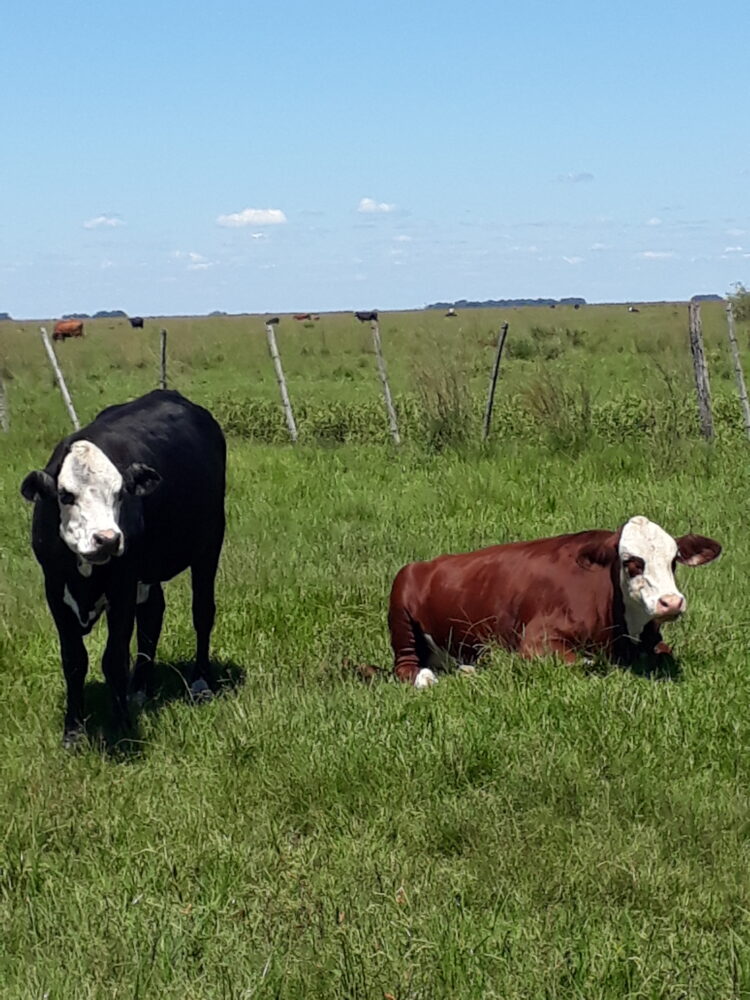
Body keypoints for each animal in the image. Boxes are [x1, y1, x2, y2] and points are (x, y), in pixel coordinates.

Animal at [20, 389, 226, 748]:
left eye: (120, 493)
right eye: (65, 495)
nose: (107, 538)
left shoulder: (122, 586)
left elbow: (114, 658)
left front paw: (123, 729)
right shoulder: (55, 588)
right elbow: (74, 660)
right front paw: (73, 732)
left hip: (209, 544)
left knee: (202, 612)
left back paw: (200, 683)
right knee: (152, 615)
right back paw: (139, 688)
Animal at [388, 516, 721, 688]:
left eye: (673, 561)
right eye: (631, 563)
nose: (671, 603)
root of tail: (424, 564)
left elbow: (663, 653)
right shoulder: (535, 642)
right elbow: (587, 663)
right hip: (401, 610)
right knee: (406, 668)